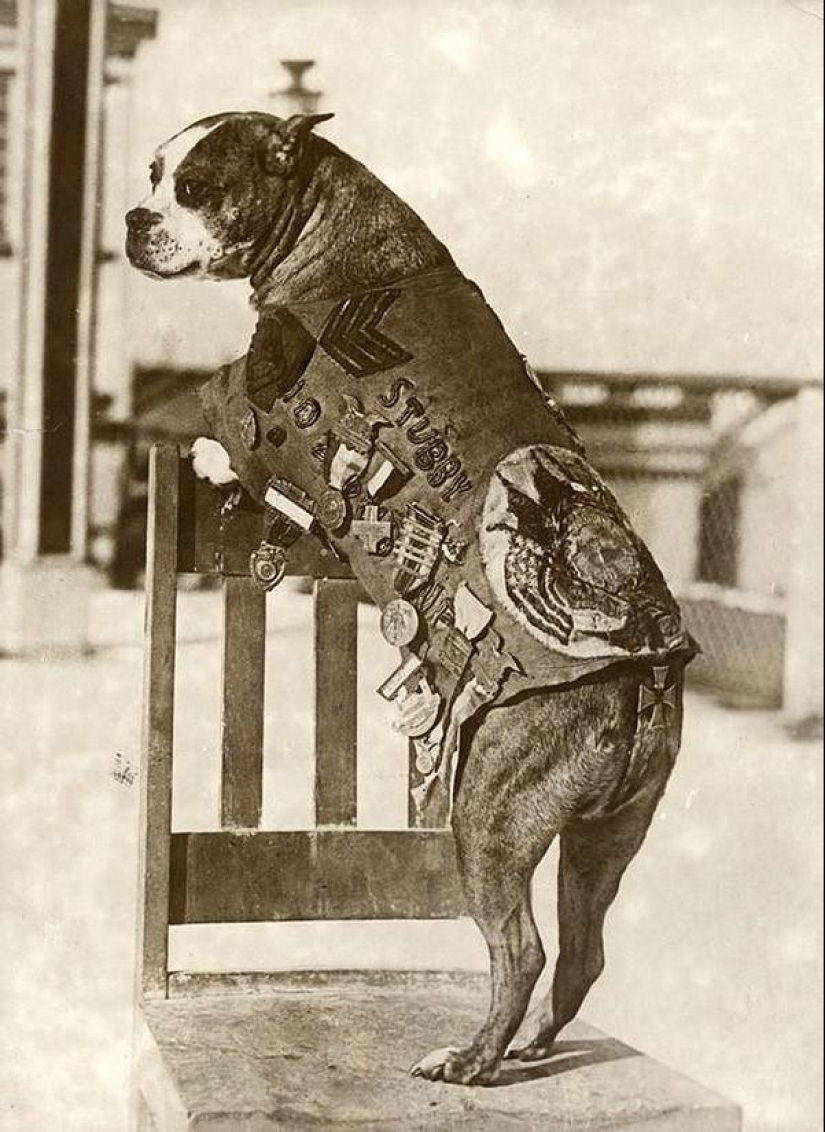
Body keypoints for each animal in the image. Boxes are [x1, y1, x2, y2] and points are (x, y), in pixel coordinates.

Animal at [127, 110, 697, 1082]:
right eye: (153, 175)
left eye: (194, 186)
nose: (135, 217)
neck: (336, 231)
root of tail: (640, 673)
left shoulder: (257, 385)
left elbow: (216, 421)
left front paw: (201, 457)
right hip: (604, 840)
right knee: (582, 951)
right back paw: (530, 1046)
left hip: (489, 821)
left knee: (521, 950)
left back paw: (470, 1061)